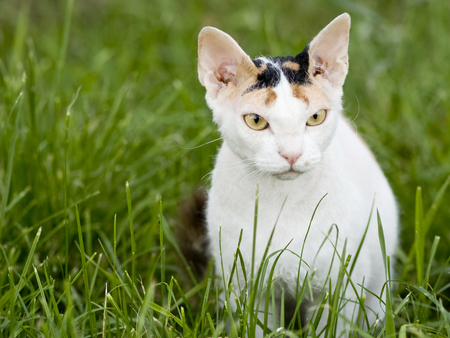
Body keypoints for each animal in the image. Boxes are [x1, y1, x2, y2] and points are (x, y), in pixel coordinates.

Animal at [193, 13, 398, 336]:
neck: (285, 202)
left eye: (315, 117)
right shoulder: (244, 282)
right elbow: (257, 324)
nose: (291, 154)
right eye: (256, 120)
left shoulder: (342, 283)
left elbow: (333, 325)